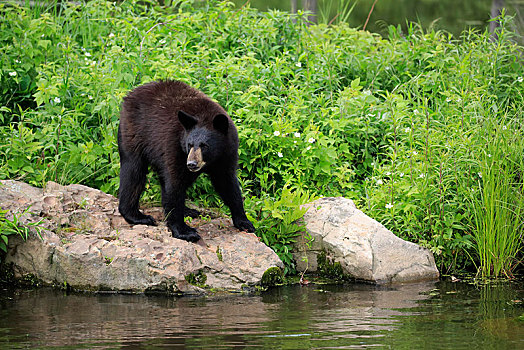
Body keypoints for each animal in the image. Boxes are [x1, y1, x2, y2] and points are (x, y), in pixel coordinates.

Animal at [121, 80, 256, 242]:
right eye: (190, 144)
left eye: (204, 145)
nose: (191, 164)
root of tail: (130, 94)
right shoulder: (175, 146)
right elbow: (175, 183)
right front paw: (184, 231)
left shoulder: (227, 153)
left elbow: (227, 184)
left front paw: (244, 222)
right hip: (134, 132)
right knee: (134, 171)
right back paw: (138, 216)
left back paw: (188, 210)